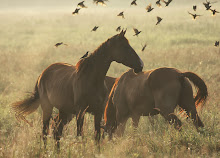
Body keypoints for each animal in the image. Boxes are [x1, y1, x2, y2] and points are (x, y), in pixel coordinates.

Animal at [12, 30, 144, 148]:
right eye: (125, 47)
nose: (141, 65)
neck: (91, 79)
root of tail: (43, 74)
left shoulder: (98, 111)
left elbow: (97, 136)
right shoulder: (81, 112)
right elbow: (80, 135)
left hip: (64, 110)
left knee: (57, 131)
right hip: (47, 107)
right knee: (45, 132)